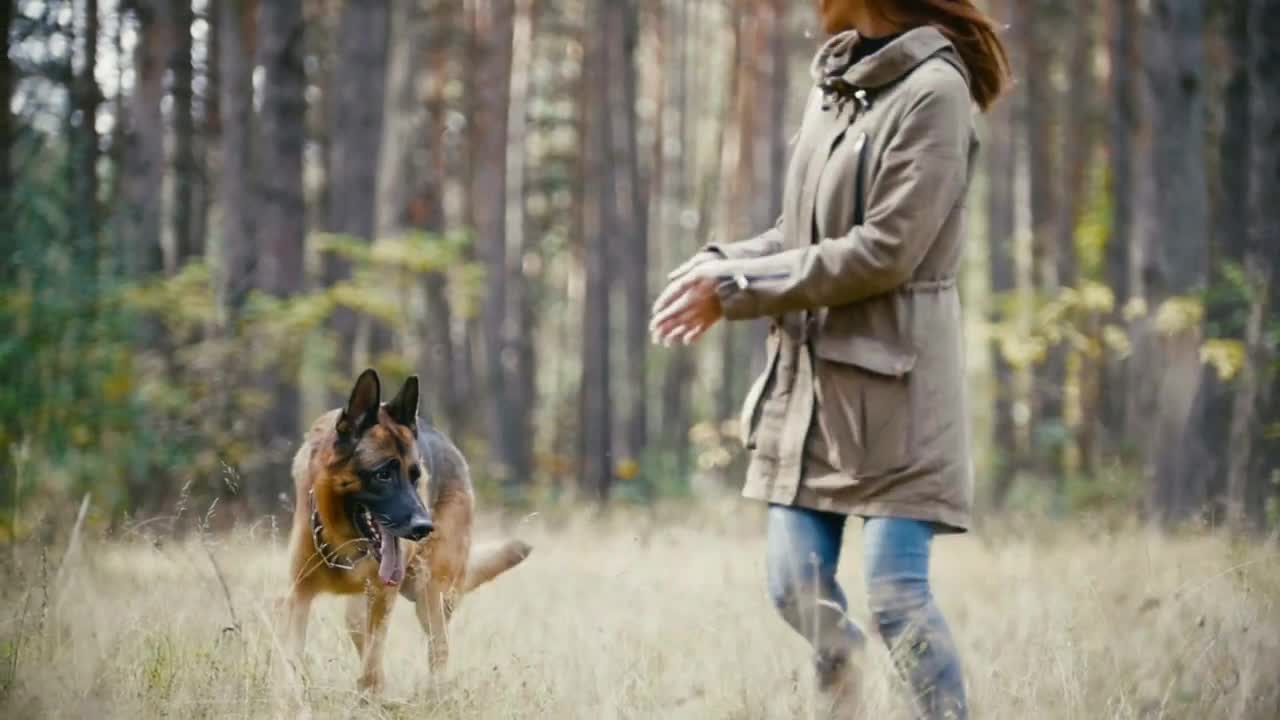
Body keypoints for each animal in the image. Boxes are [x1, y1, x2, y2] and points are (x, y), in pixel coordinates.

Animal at [282, 368, 532, 691]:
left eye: (415, 476)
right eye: (383, 475)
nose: (425, 527)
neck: (342, 540)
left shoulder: (383, 597)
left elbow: (372, 669)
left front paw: (370, 695)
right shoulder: (299, 595)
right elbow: (293, 661)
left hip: (429, 594)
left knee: (439, 649)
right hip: (361, 611)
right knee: (362, 632)